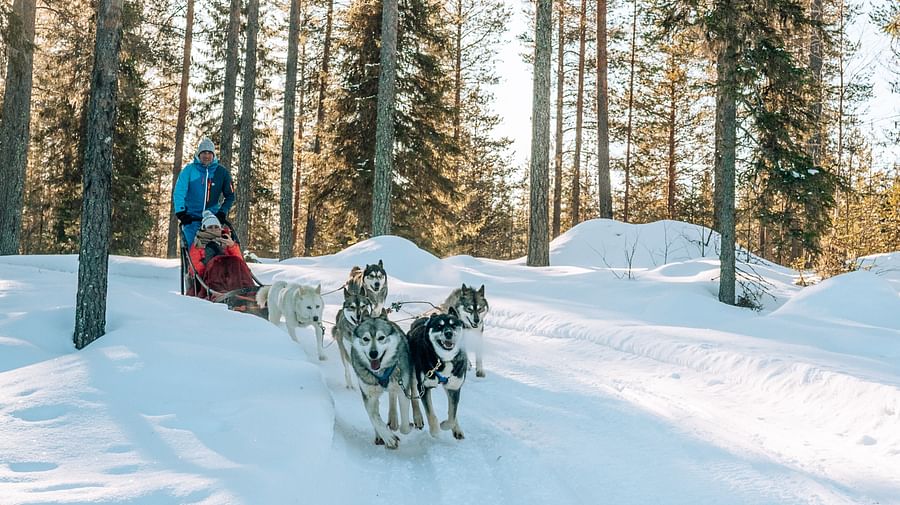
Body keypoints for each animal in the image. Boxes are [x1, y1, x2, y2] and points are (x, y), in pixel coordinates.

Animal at [350, 314, 414, 446]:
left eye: (381, 337)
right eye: (366, 339)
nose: (373, 353)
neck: (381, 373)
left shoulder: (403, 390)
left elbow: (404, 428)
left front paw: (407, 427)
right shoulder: (369, 396)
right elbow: (374, 417)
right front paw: (388, 437)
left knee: (392, 395)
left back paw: (393, 420)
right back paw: (381, 434)